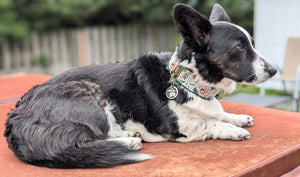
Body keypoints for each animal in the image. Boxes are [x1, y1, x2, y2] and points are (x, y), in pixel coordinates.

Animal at [4, 3, 276, 169]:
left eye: (251, 43)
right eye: (239, 47)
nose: (274, 70)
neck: (190, 81)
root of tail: (15, 120)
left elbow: (219, 113)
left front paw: (237, 117)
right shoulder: (178, 128)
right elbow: (209, 123)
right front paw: (234, 129)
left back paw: (129, 137)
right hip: (89, 95)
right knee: (81, 140)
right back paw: (128, 143)